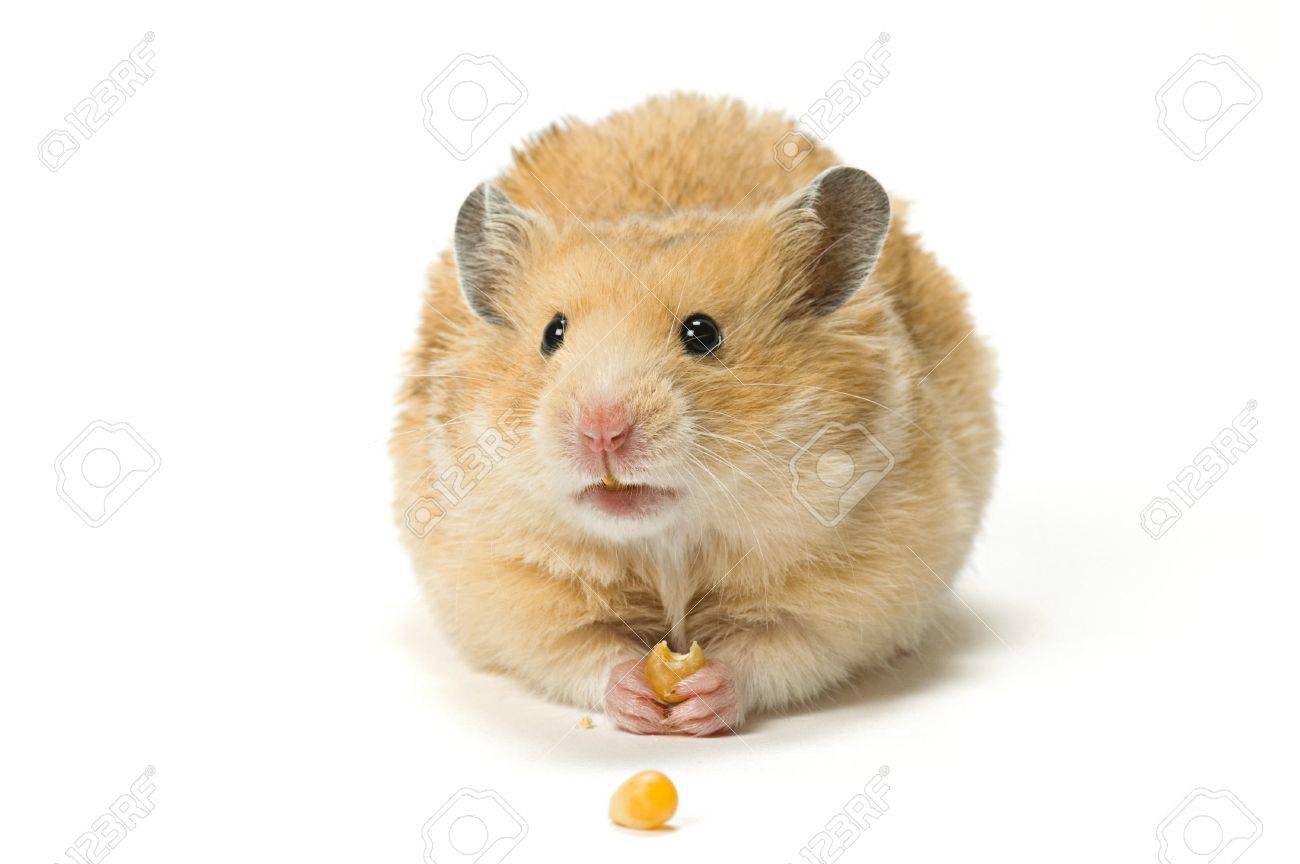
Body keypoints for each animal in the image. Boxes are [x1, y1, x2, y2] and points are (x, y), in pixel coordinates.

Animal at [392, 94, 997, 735]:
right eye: (551, 334)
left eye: (702, 334)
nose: (601, 430)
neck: (669, 540)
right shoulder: (498, 575)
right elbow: (579, 647)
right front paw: (638, 698)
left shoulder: (867, 582)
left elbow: (778, 647)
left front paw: (703, 697)